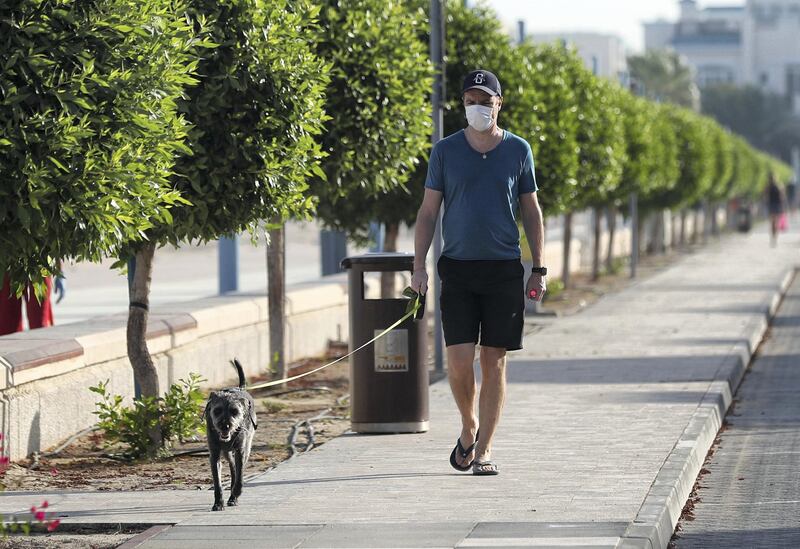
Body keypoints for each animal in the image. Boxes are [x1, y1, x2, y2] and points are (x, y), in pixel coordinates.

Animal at [205, 360, 258, 510]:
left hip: (246, 447)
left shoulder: (241, 451)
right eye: (217, 410)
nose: (225, 426)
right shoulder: (215, 455)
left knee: (236, 470)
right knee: (233, 466)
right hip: (226, 453)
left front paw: (236, 493)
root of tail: (240, 388)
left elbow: (239, 478)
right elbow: (217, 483)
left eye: (235, 411)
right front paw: (218, 503)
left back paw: (233, 496)